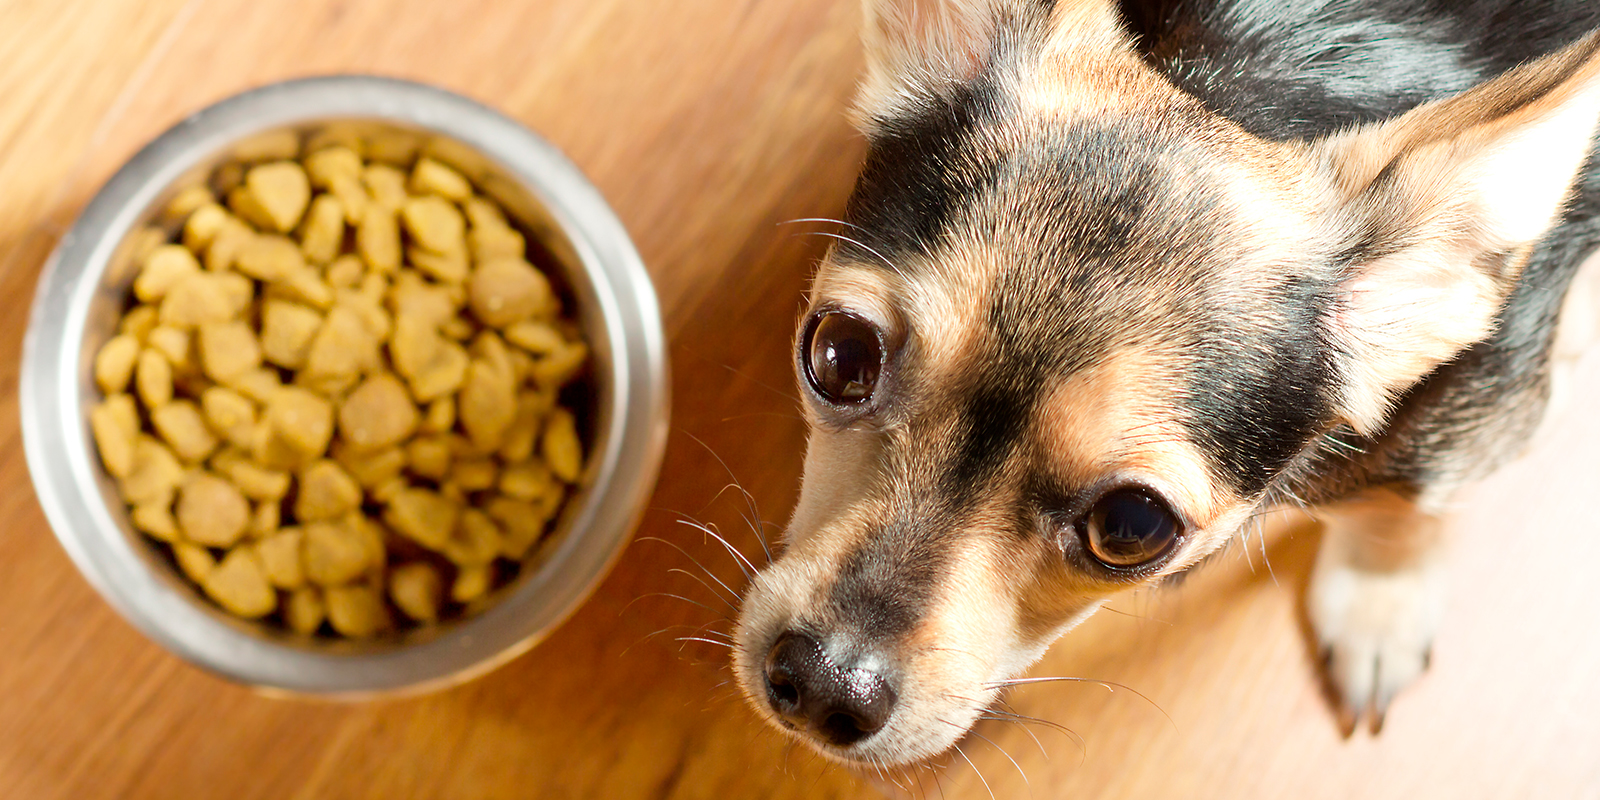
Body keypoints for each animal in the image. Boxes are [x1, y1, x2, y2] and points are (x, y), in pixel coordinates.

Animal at [729, 0, 1600, 764]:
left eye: (1132, 528)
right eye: (839, 356)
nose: (824, 683)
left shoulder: (1479, 413)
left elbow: (1402, 509)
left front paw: (1378, 607)